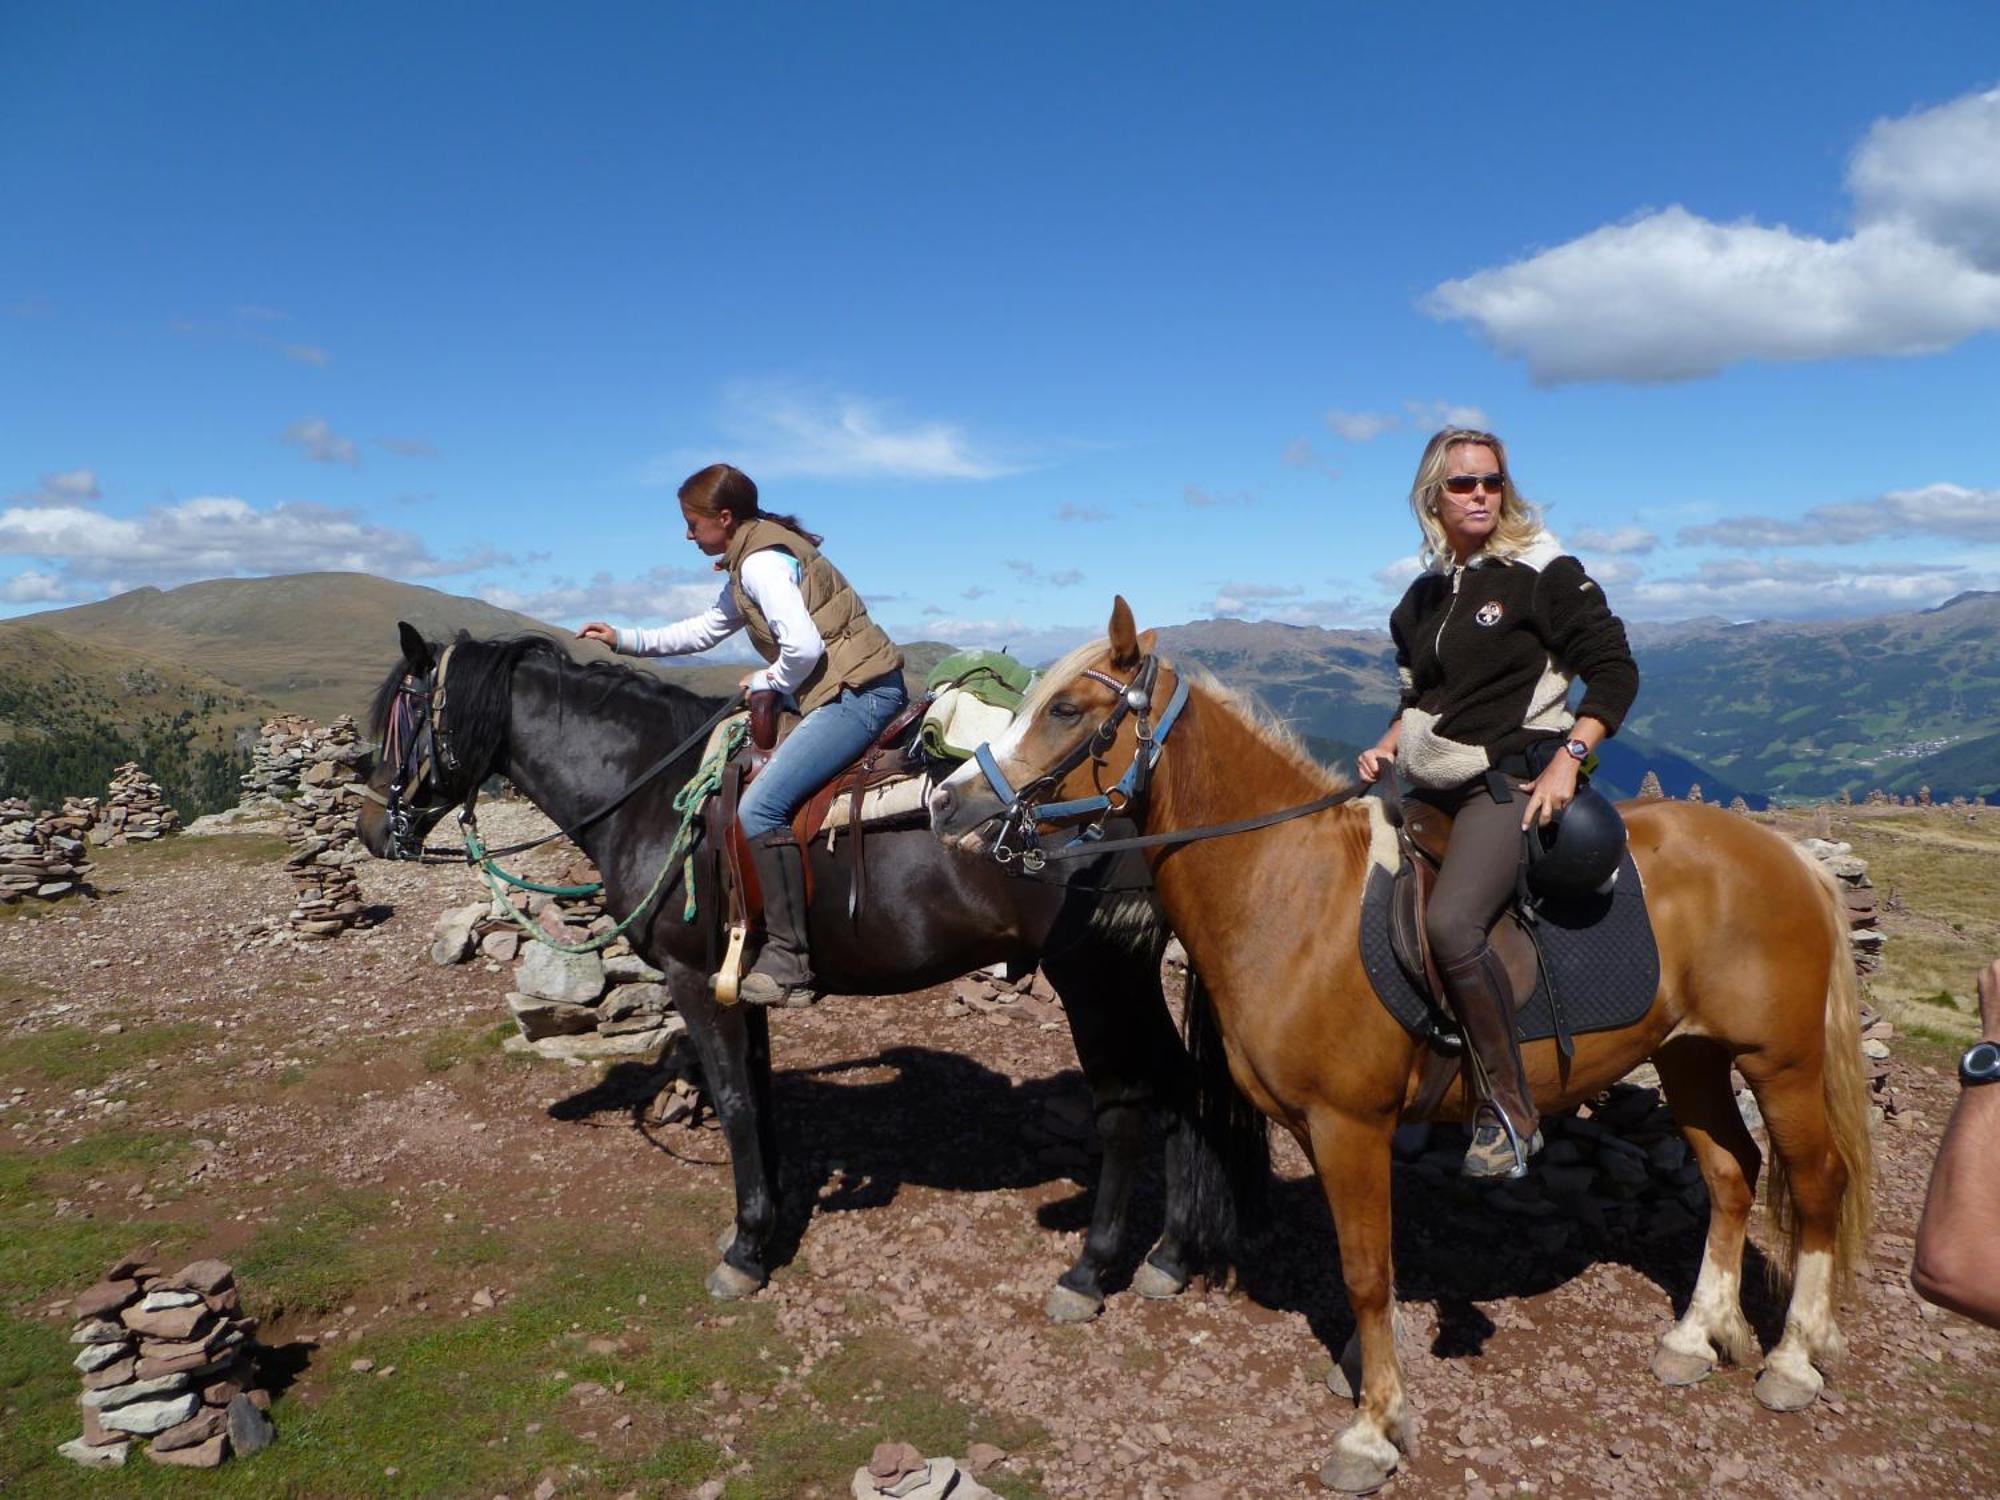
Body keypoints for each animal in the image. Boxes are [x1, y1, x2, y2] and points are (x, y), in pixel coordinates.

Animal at [352, 628, 1256, 1320]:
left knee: (1128, 1110)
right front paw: (768, 1220)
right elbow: (756, 1095)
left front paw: (746, 1250)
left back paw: (1089, 1272)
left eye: (401, 715)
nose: (368, 827)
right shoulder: (736, 982)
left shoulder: (693, 979)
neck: (652, 789)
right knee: (1182, 1091)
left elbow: (733, 1102)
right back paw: (1171, 1257)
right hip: (1127, 978)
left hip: (1094, 979)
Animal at [936, 600, 1872, 1496]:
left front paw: (1372, 1429)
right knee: (1731, 1174)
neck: (1292, 890)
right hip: (1691, 1058)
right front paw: (1359, 1374)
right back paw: (1695, 1336)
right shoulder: (1325, 1129)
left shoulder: (1350, 1125)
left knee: (1816, 1182)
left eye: (1066, 708)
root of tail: (1786, 856)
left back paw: (1794, 1360)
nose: (947, 802)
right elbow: (1367, 1263)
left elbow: (1363, 1271)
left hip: (1780, 1064)